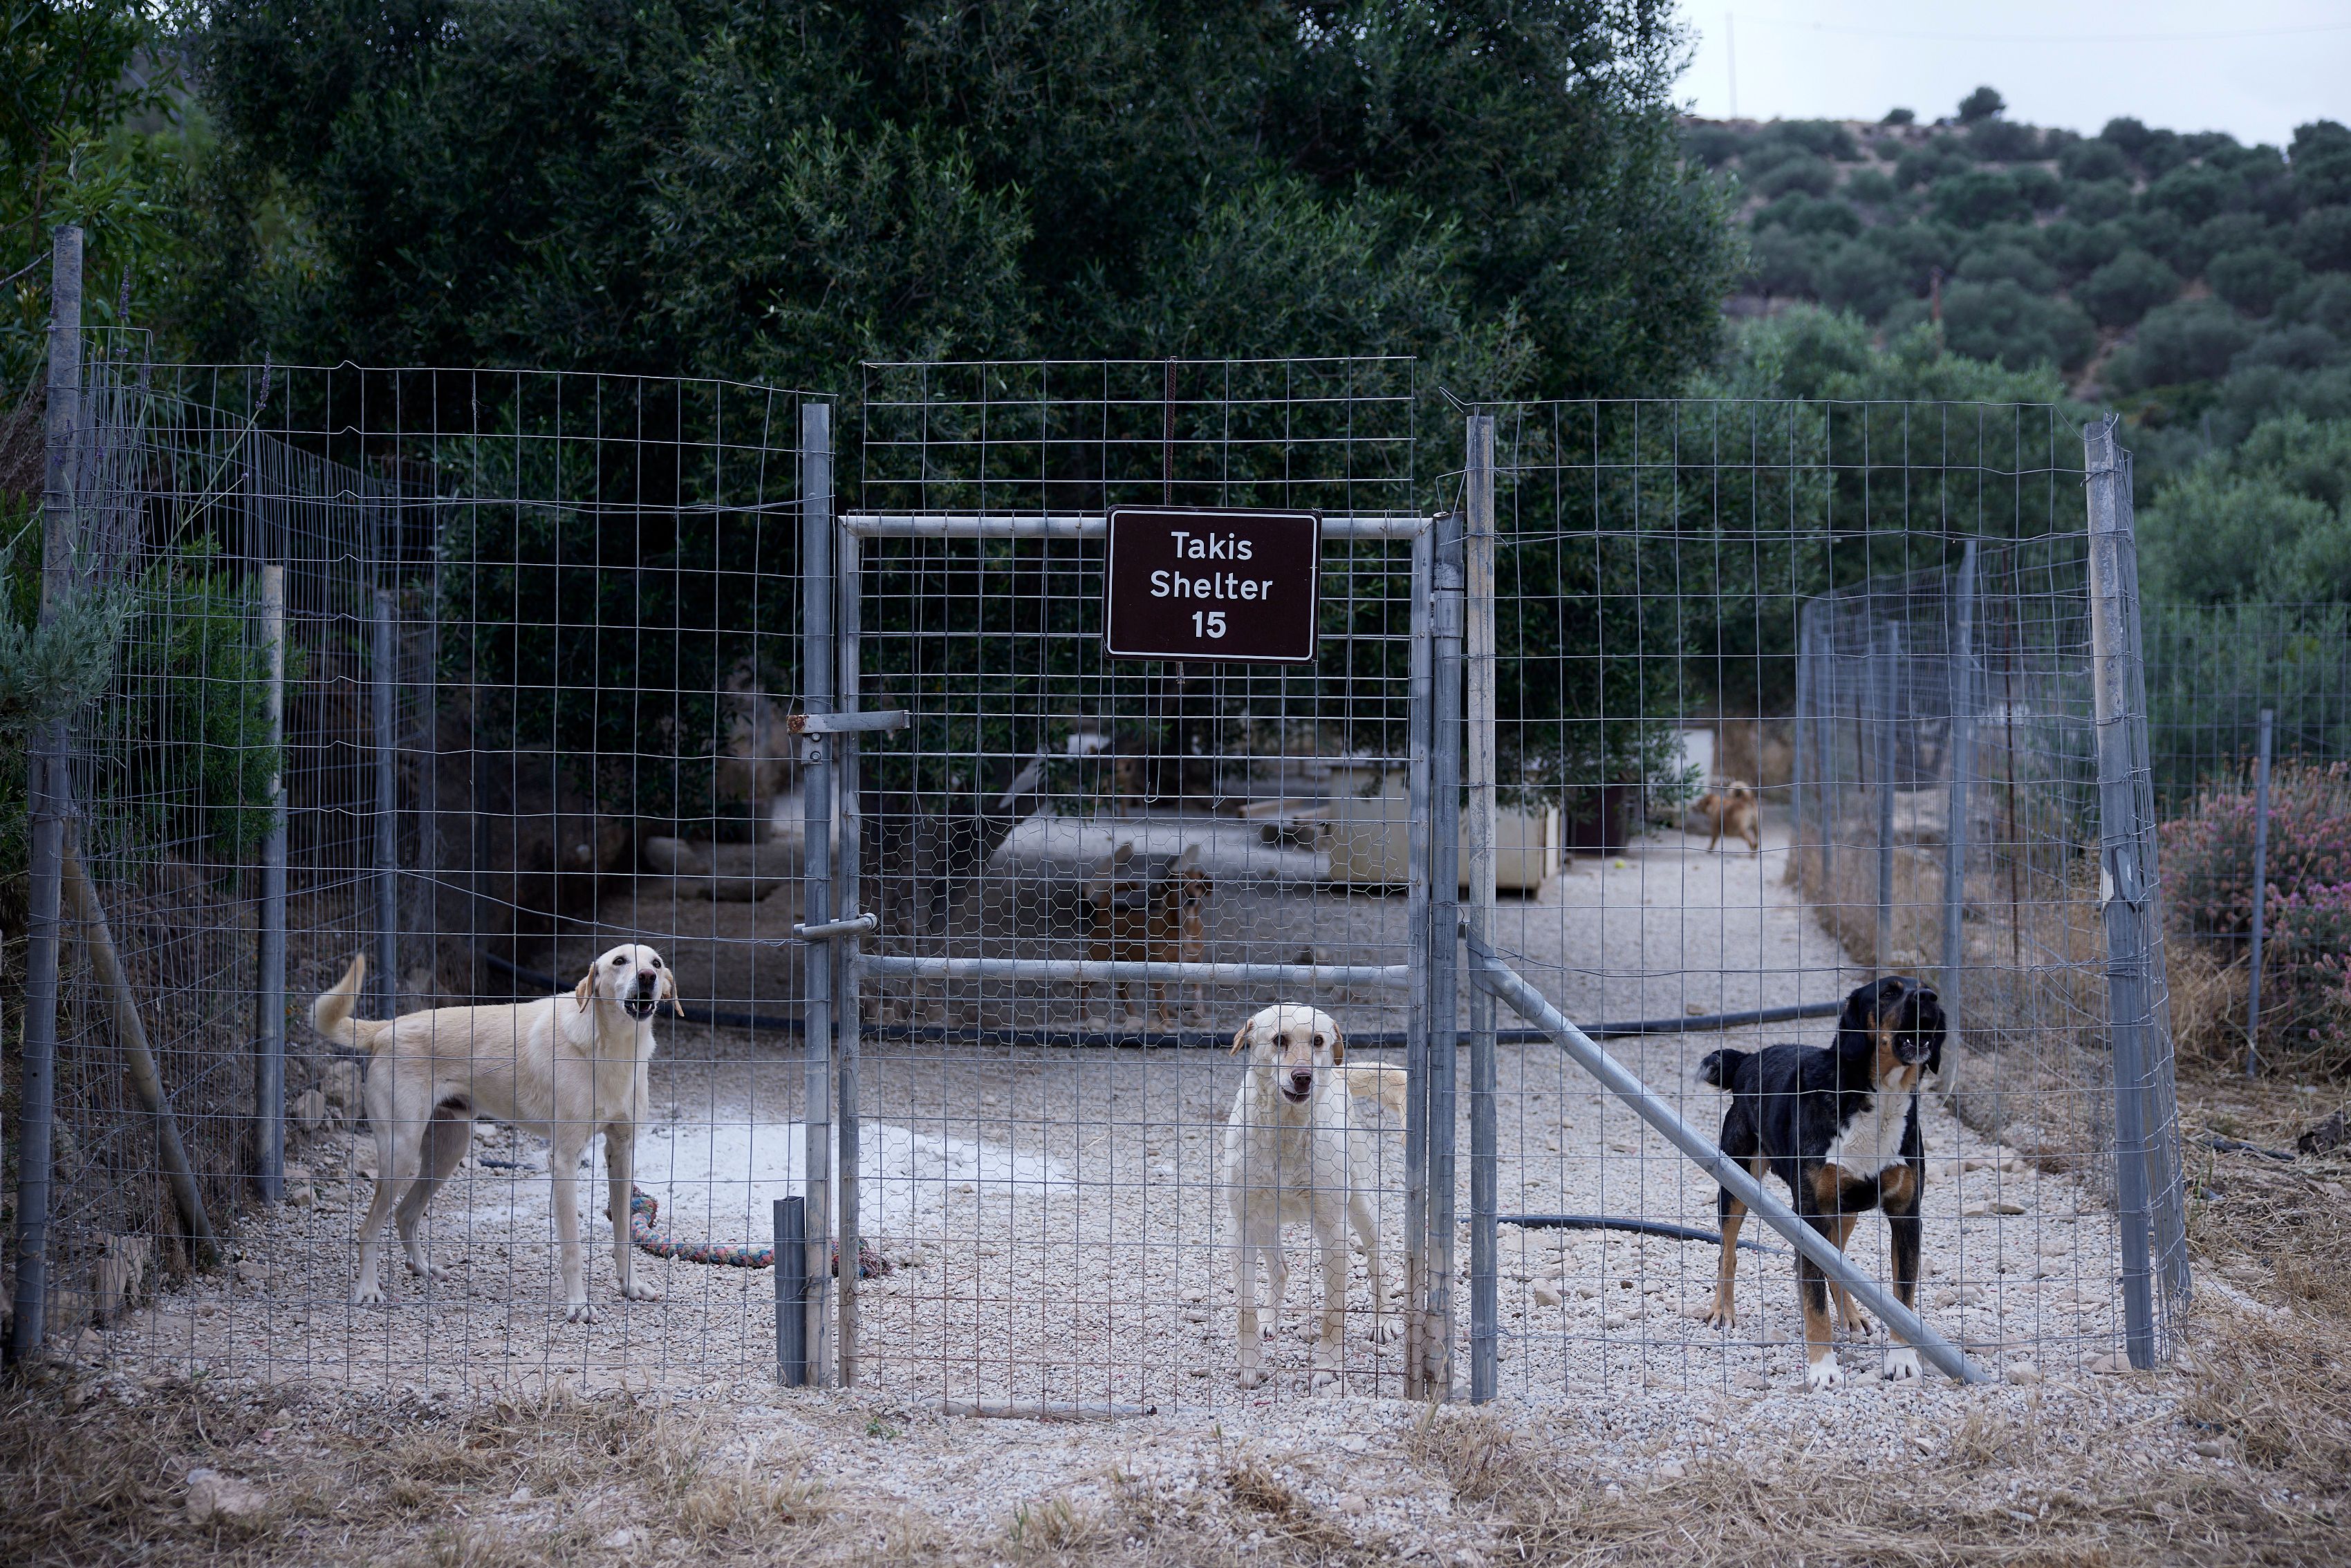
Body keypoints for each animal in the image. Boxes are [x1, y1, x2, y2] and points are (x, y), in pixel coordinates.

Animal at [310, 944, 682, 1325]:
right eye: (619, 961)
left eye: (656, 964)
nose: (647, 978)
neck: (612, 1049)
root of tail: (387, 1028)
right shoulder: (564, 1161)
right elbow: (573, 1248)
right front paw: (578, 1304)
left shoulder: (621, 1154)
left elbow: (623, 1236)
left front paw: (631, 1286)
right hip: (401, 1153)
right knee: (368, 1228)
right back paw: (369, 1289)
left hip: (448, 1152)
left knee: (405, 1214)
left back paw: (424, 1269)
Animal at [1223, 1006, 1401, 1382]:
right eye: (1280, 1040)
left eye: (1318, 1041)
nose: (1303, 1077)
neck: (1287, 1129)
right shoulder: (1241, 1226)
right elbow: (1244, 1307)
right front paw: (1250, 1364)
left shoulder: (1334, 1231)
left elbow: (1333, 1311)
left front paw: (1329, 1365)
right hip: (1266, 1223)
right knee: (1280, 1269)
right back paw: (1270, 1319)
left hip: (1363, 1207)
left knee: (1377, 1261)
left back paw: (1382, 1321)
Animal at [1702, 973, 1937, 1391]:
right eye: (1888, 992)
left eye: (1926, 988)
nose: (1928, 997)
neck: (1877, 1098)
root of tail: (1747, 1059)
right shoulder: (1811, 1214)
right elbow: (1813, 1297)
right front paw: (1823, 1367)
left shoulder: (1906, 1216)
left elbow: (1904, 1295)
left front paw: (1902, 1360)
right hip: (1736, 1184)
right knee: (1727, 1252)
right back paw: (1722, 1310)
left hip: (1845, 1211)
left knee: (1836, 1263)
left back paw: (1852, 1316)